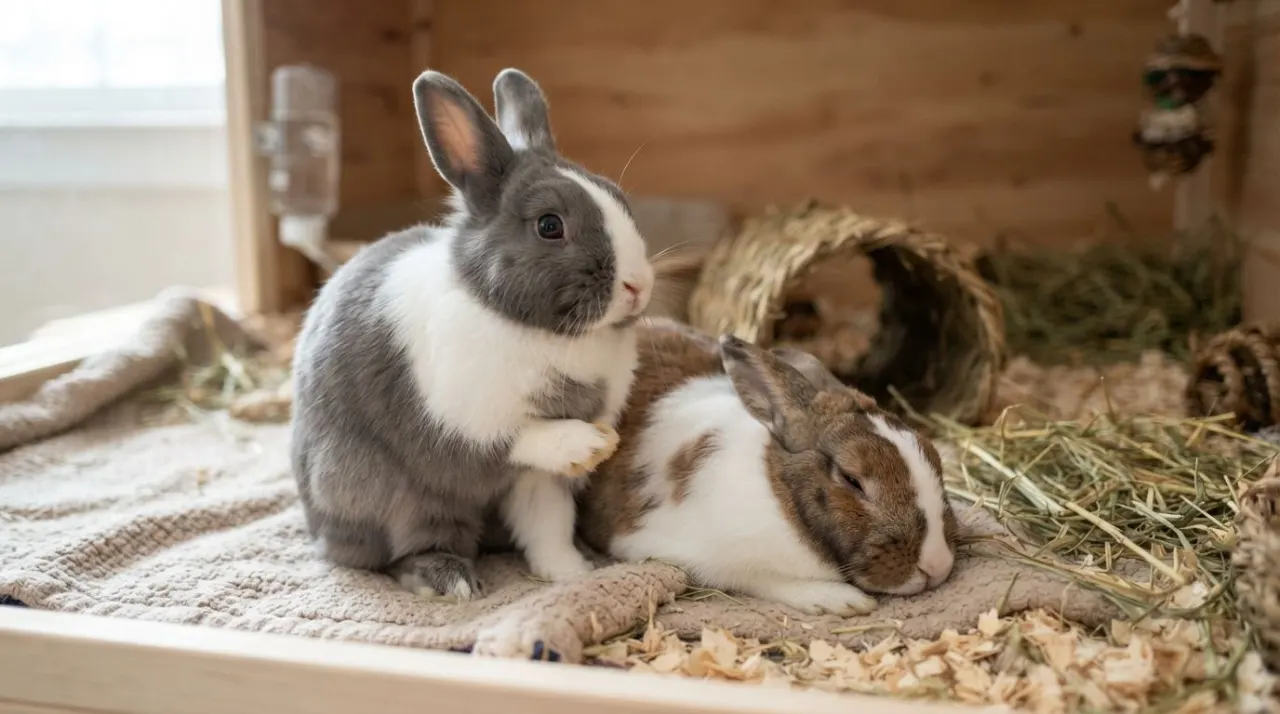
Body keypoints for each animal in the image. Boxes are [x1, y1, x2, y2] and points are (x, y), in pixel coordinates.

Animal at [290, 67, 655, 601]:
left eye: (620, 199)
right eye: (550, 225)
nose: (638, 285)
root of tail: (318, 530)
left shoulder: (537, 481)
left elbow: (548, 524)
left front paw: (571, 574)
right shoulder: (471, 420)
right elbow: (517, 439)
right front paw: (585, 445)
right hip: (395, 497)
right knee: (407, 547)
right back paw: (450, 582)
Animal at [577, 319, 959, 616]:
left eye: (933, 456)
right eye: (852, 480)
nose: (938, 565)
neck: (782, 496)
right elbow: (765, 578)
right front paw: (841, 600)